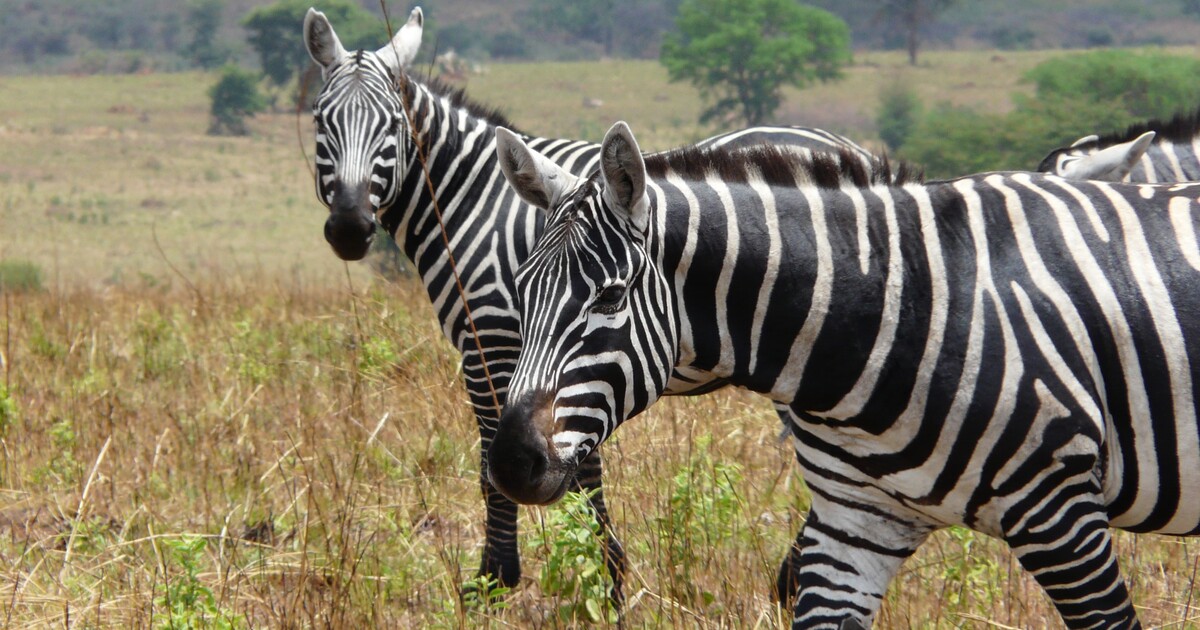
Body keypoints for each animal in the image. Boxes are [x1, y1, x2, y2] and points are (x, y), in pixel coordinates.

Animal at [302, 7, 879, 598]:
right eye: (321, 121)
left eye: (393, 125)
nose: (349, 228)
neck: (473, 198)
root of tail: (850, 149)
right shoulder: (562, 363)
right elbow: (581, 463)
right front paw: (607, 572)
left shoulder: (490, 344)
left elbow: (495, 465)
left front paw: (498, 578)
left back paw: (792, 578)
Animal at [489, 120, 1200, 629]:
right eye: (519, 292)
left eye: (610, 298)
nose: (512, 463)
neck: (900, 308)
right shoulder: (854, 524)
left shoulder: (1061, 512)